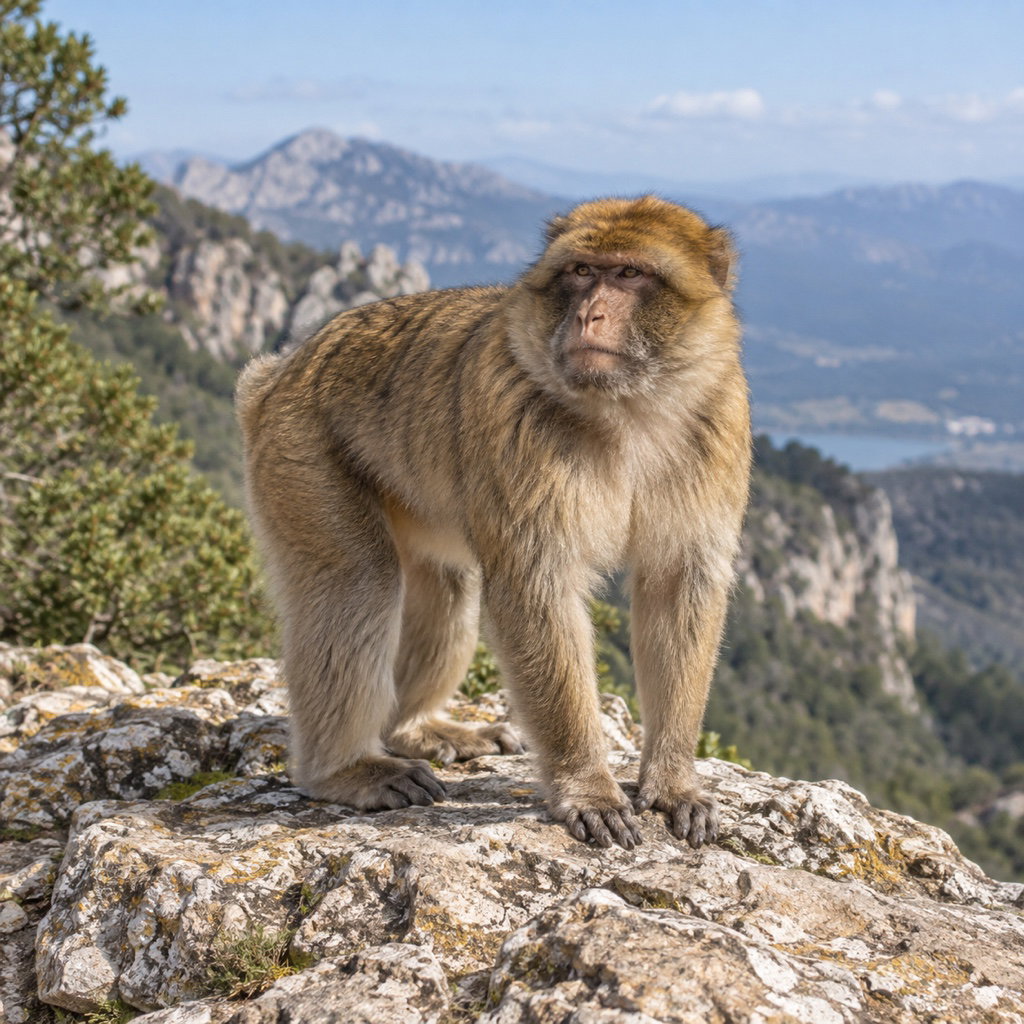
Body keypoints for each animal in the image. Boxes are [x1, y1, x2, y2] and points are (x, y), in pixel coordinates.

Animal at [236, 196, 750, 850]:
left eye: (630, 273)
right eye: (582, 271)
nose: (590, 313)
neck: (627, 407)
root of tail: (281, 370)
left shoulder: (720, 418)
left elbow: (679, 587)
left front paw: (672, 780)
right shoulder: (516, 421)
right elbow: (536, 589)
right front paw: (588, 787)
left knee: (446, 586)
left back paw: (415, 728)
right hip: (299, 450)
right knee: (359, 580)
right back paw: (346, 768)